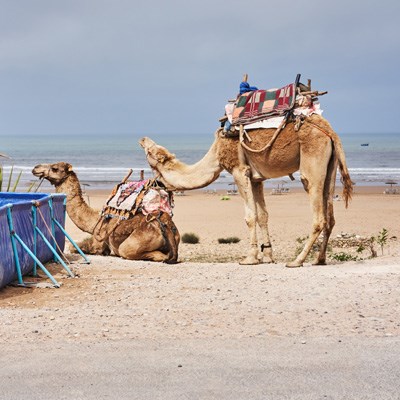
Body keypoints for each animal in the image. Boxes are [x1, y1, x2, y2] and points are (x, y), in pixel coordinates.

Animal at [32, 162, 179, 262]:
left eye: (55, 168)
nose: (36, 168)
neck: (96, 218)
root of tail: (166, 225)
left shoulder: (99, 241)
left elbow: (75, 247)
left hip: (134, 243)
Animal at [139, 114, 352, 268]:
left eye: (151, 151)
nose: (142, 139)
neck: (216, 155)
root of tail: (331, 133)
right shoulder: (257, 180)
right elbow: (263, 216)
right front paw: (267, 256)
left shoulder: (239, 171)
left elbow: (250, 217)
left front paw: (250, 258)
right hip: (330, 167)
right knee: (330, 216)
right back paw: (319, 259)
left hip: (312, 159)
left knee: (318, 215)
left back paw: (297, 261)